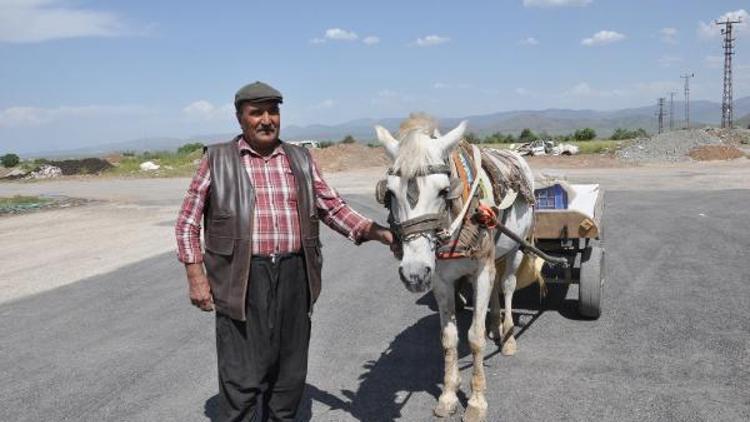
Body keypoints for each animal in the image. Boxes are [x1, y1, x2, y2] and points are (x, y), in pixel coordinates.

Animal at [376, 113, 536, 420]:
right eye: (389, 193)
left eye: (443, 190)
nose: (414, 274)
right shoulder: (441, 280)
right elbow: (449, 339)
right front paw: (449, 395)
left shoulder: (481, 270)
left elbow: (474, 338)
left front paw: (476, 401)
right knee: (496, 290)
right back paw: (495, 326)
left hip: (515, 249)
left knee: (508, 286)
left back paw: (508, 336)